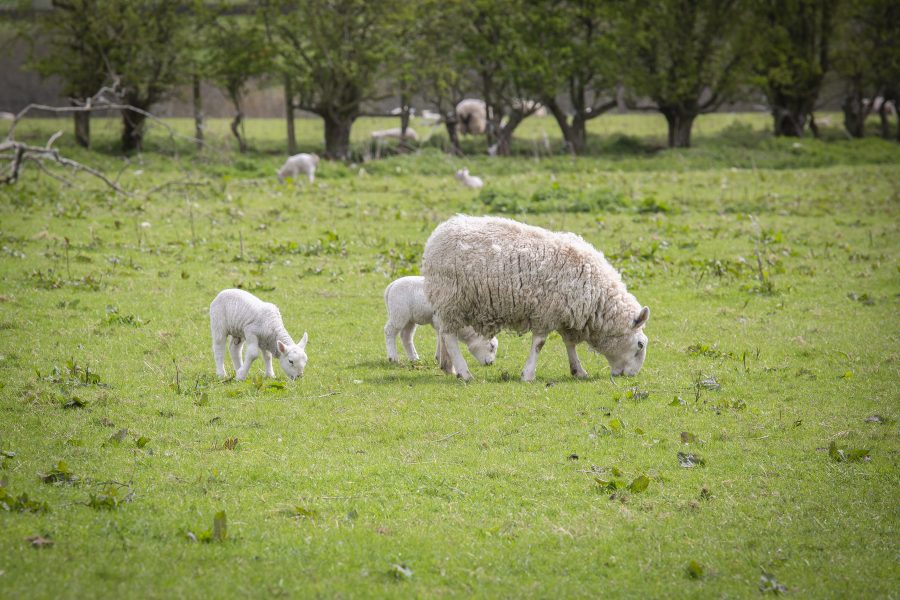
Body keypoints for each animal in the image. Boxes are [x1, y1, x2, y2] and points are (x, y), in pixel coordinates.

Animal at [422, 218, 648, 382]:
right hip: (451, 298)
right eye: (640, 345)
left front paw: (578, 371)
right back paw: (464, 373)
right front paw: (528, 375)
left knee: (444, 333)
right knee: (449, 336)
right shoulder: (546, 312)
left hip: (447, 302)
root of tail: (435, 236)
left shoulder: (564, 313)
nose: (631, 376)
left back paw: (448, 367)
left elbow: (569, 344)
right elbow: (539, 344)